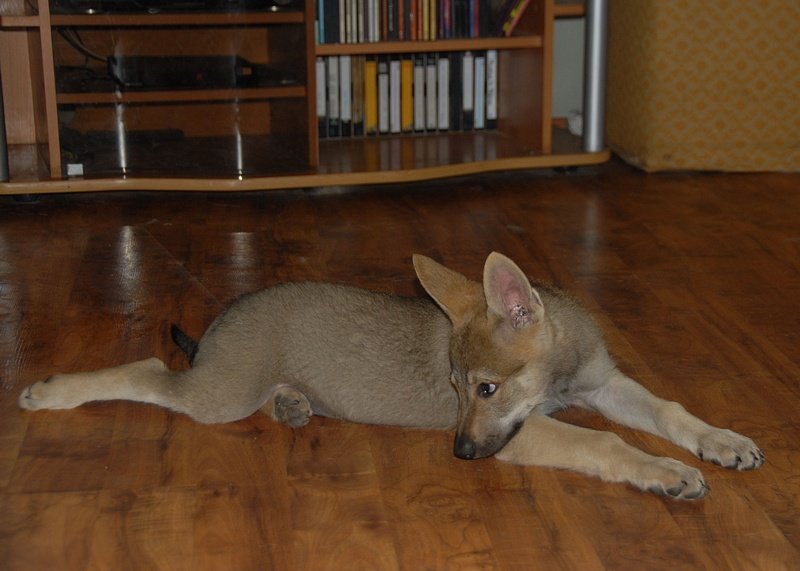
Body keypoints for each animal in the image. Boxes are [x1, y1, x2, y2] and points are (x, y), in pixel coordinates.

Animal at [18, 252, 763, 499]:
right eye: (457, 390)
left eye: (485, 387)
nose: (458, 452)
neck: (558, 380)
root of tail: (224, 319)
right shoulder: (520, 434)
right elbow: (604, 442)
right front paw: (664, 473)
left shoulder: (605, 384)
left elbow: (670, 410)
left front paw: (721, 441)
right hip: (217, 394)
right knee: (149, 368)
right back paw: (49, 390)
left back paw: (293, 405)